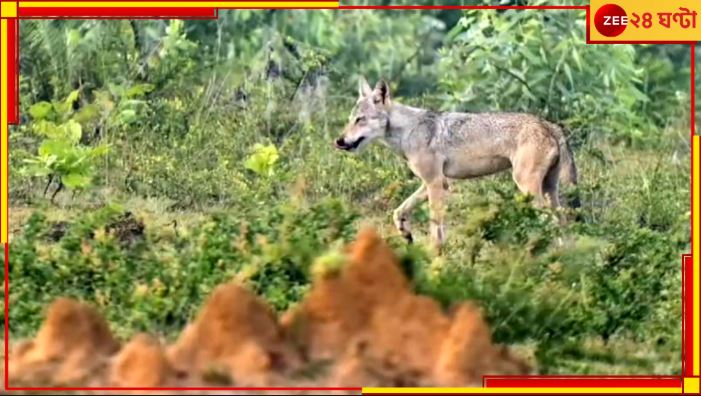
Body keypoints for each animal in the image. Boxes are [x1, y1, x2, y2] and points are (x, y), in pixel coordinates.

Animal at [336, 77, 576, 255]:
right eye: (350, 119)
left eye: (360, 119)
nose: (339, 141)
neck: (407, 131)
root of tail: (550, 125)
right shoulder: (436, 183)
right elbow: (399, 211)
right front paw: (406, 234)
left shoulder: (434, 183)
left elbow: (436, 230)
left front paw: (435, 259)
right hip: (549, 190)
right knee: (563, 220)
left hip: (526, 187)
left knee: (551, 221)